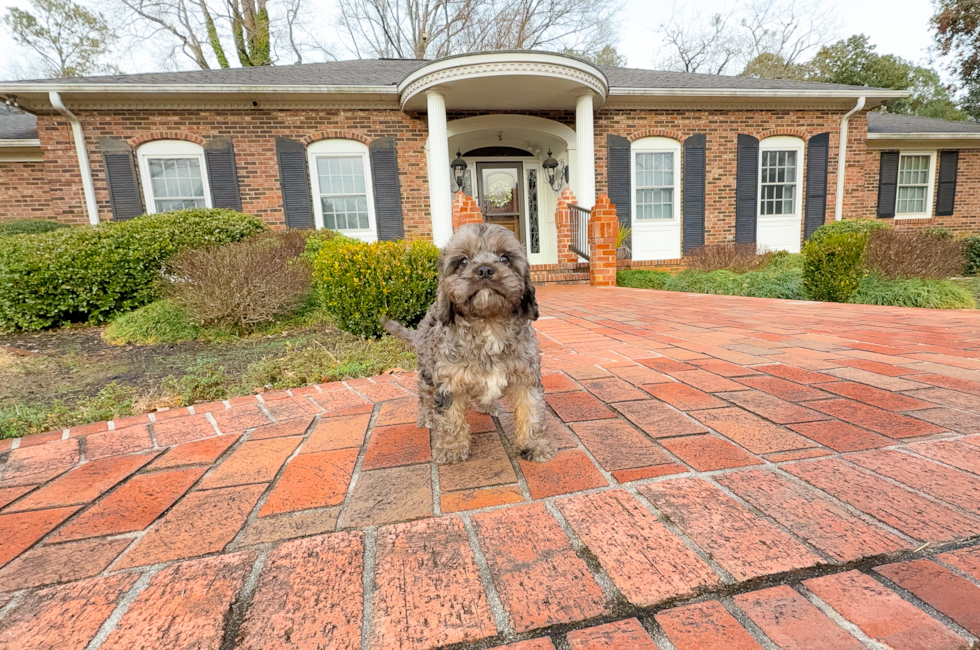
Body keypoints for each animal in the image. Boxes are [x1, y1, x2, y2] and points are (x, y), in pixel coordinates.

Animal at [380, 225, 556, 464]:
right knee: (425, 393)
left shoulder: (526, 376)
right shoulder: (448, 381)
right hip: (427, 367)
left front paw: (534, 445)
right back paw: (426, 416)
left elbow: (532, 411)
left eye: (505, 258)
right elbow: (450, 418)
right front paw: (451, 448)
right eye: (463, 261)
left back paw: (487, 404)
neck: (488, 325)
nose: (485, 270)